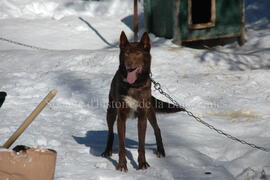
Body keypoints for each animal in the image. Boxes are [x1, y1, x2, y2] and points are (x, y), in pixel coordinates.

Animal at [101, 31, 184, 172]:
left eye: (138, 53)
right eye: (126, 53)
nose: (129, 66)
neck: (134, 85)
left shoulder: (142, 117)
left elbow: (141, 144)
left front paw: (142, 164)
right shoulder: (121, 117)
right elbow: (122, 145)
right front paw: (122, 165)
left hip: (150, 111)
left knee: (157, 129)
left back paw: (161, 151)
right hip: (111, 111)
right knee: (110, 132)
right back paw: (107, 150)